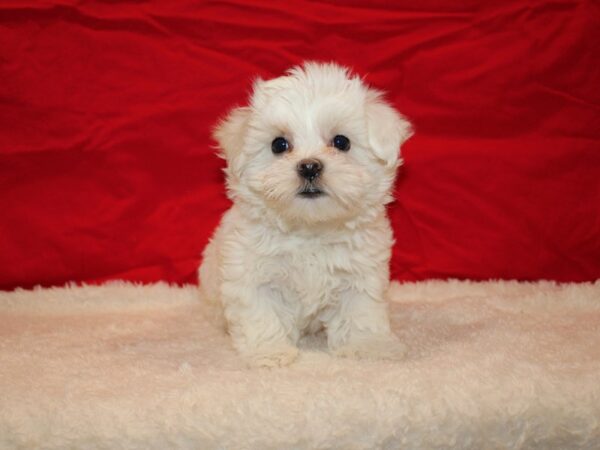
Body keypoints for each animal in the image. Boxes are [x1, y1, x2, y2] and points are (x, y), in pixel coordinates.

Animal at [200, 62, 412, 366]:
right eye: (279, 145)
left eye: (341, 142)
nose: (310, 166)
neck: (310, 229)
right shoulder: (251, 276)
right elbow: (261, 315)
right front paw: (270, 352)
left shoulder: (362, 274)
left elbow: (361, 312)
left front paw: (370, 347)